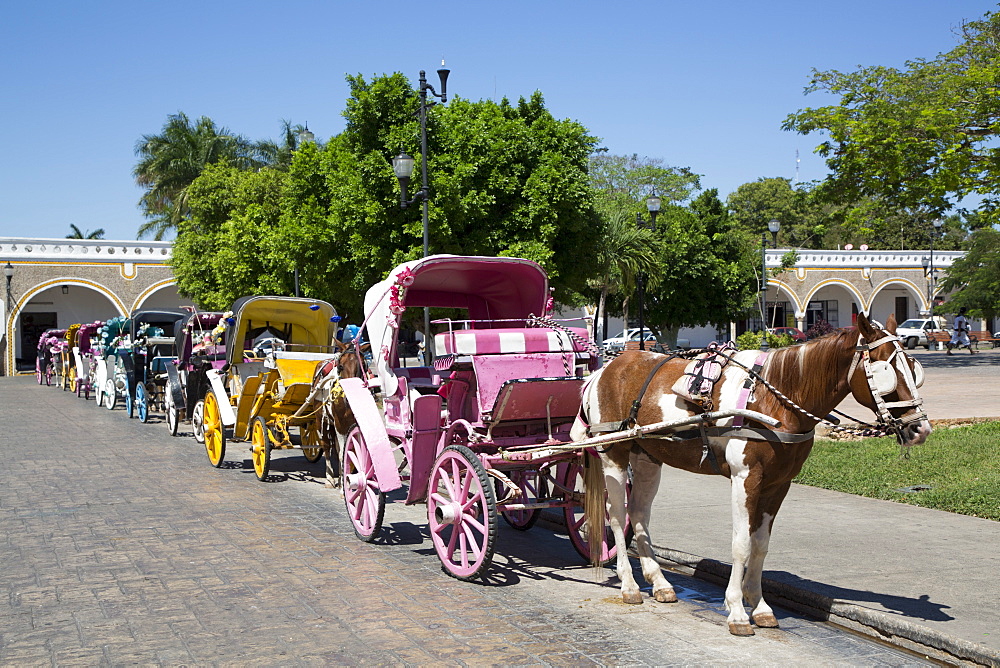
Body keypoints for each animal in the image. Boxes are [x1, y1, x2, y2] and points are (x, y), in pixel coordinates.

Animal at [576, 314, 932, 636]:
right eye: (886, 370)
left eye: (913, 369)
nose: (920, 428)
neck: (774, 399)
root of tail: (604, 371)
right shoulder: (745, 478)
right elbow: (741, 543)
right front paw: (736, 610)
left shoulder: (778, 484)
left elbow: (760, 544)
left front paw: (759, 606)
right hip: (613, 455)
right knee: (617, 516)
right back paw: (629, 585)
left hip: (648, 457)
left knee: (638, 513)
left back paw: (659, 581)